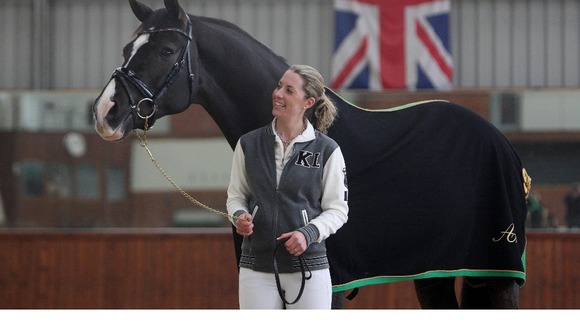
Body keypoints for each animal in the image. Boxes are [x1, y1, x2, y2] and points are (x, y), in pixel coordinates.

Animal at [92, 0, 532, 308]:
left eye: (166, 51)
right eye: (128, 47)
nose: (104, 112)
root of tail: (504, 146)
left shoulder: (329, 283)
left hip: (497, 273)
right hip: (435, 273)